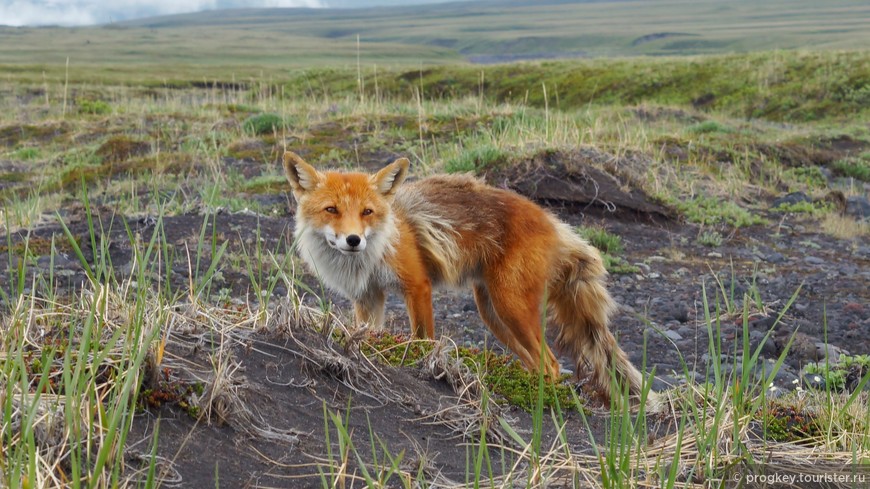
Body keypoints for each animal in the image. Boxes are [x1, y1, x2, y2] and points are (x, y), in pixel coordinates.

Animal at [286, 152, 648, 400]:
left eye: (367, 212)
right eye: (331, 210)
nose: (353, 240)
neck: (377, 246)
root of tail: (555, 222)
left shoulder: (417, 285)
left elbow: (423, 340)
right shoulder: (368, 298)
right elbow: (368, 333)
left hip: (510, 308)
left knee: (553, 365)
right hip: (495, 315)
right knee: (542, 364)